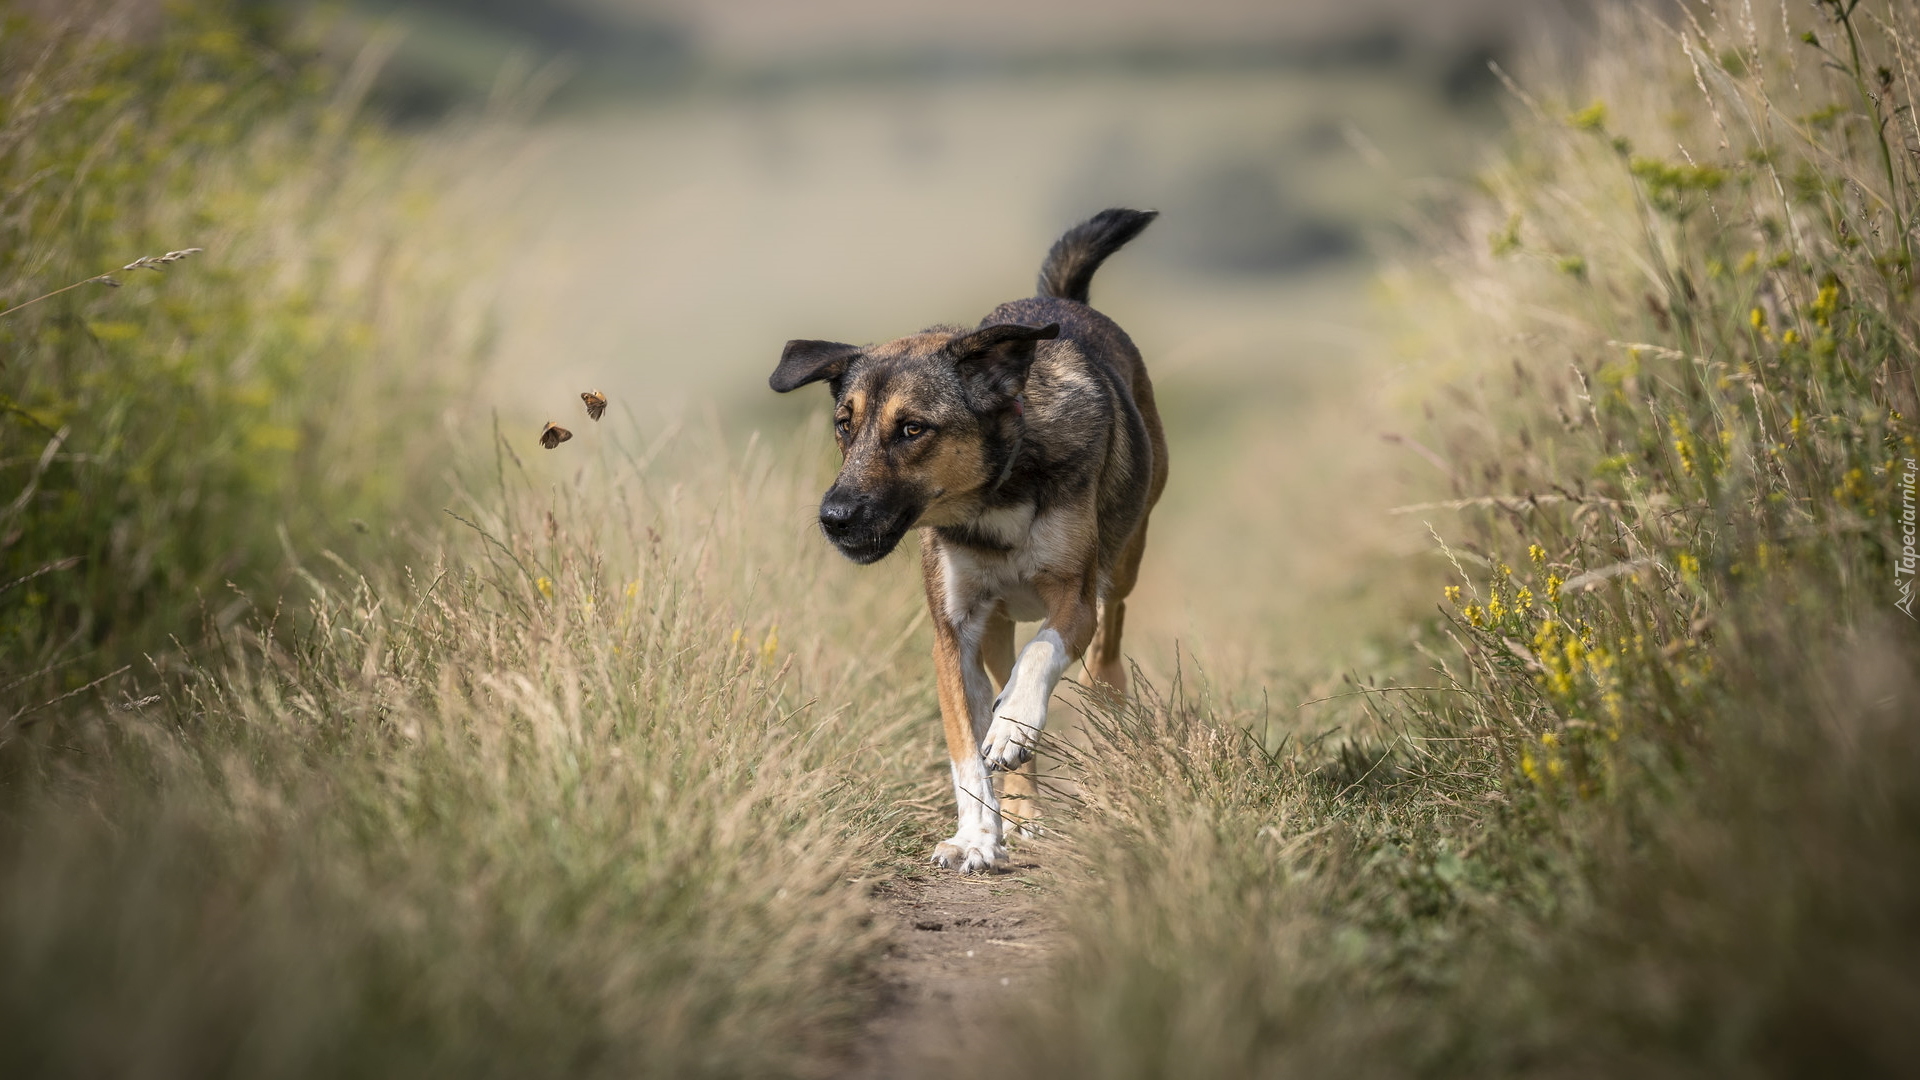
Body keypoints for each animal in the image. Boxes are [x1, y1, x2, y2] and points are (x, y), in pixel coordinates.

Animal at [768, 208, 1167, 864]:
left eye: (912, 429)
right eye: (844, 426)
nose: (835, 516)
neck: (991, 503)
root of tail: (1062, 300)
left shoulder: (1073, 596)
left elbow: (1043, 651)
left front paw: (1015, 724)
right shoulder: (953, 633)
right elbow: (965, 752)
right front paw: (977, 836)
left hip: (1123, 568)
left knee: (1105, 644)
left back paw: (1094, 709)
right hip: (996, 628)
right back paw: (1022, 810)